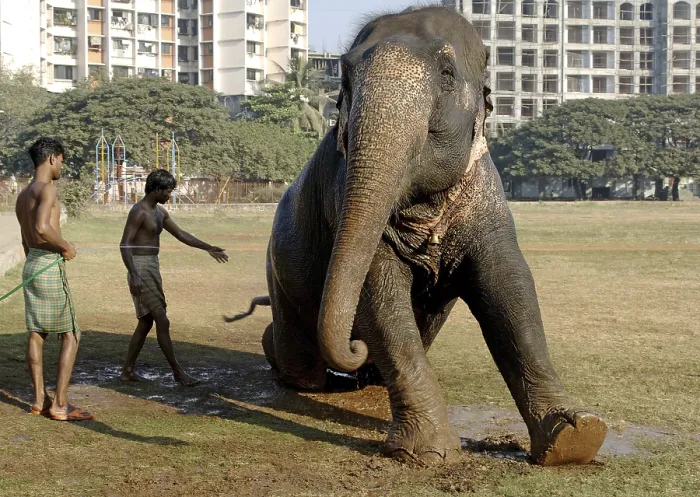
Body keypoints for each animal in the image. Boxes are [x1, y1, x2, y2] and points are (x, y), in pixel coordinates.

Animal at [236, 6, 608, 465]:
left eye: (447, 75)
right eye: (345, 79)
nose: (354, 348)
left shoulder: (488, 197)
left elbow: (509, 288)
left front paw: (575, 436)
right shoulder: (342, 191)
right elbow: (378, 295)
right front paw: (428, 453)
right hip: (278, 274)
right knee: (302, 368)